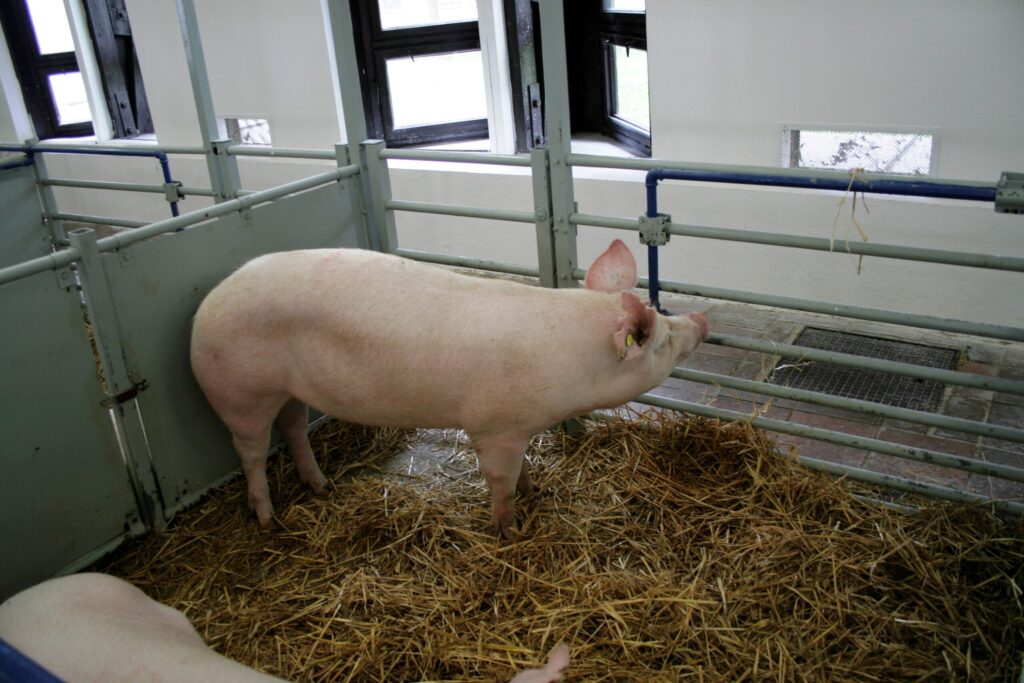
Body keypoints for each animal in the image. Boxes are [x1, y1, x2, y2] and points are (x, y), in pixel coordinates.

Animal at [190, 239, 707, 537]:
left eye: (664, 317)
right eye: (661, 341)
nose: (701, 319)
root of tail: (208, 302)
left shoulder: (519, 428)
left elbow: (524, 466)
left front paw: (535, 487)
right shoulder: (493, 427)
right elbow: (499, 481)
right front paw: (510, 530)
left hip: (288, 390)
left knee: (294, 427)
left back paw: (322, 487)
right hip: (239, 391)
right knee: (250, 451)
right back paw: (266, 520)